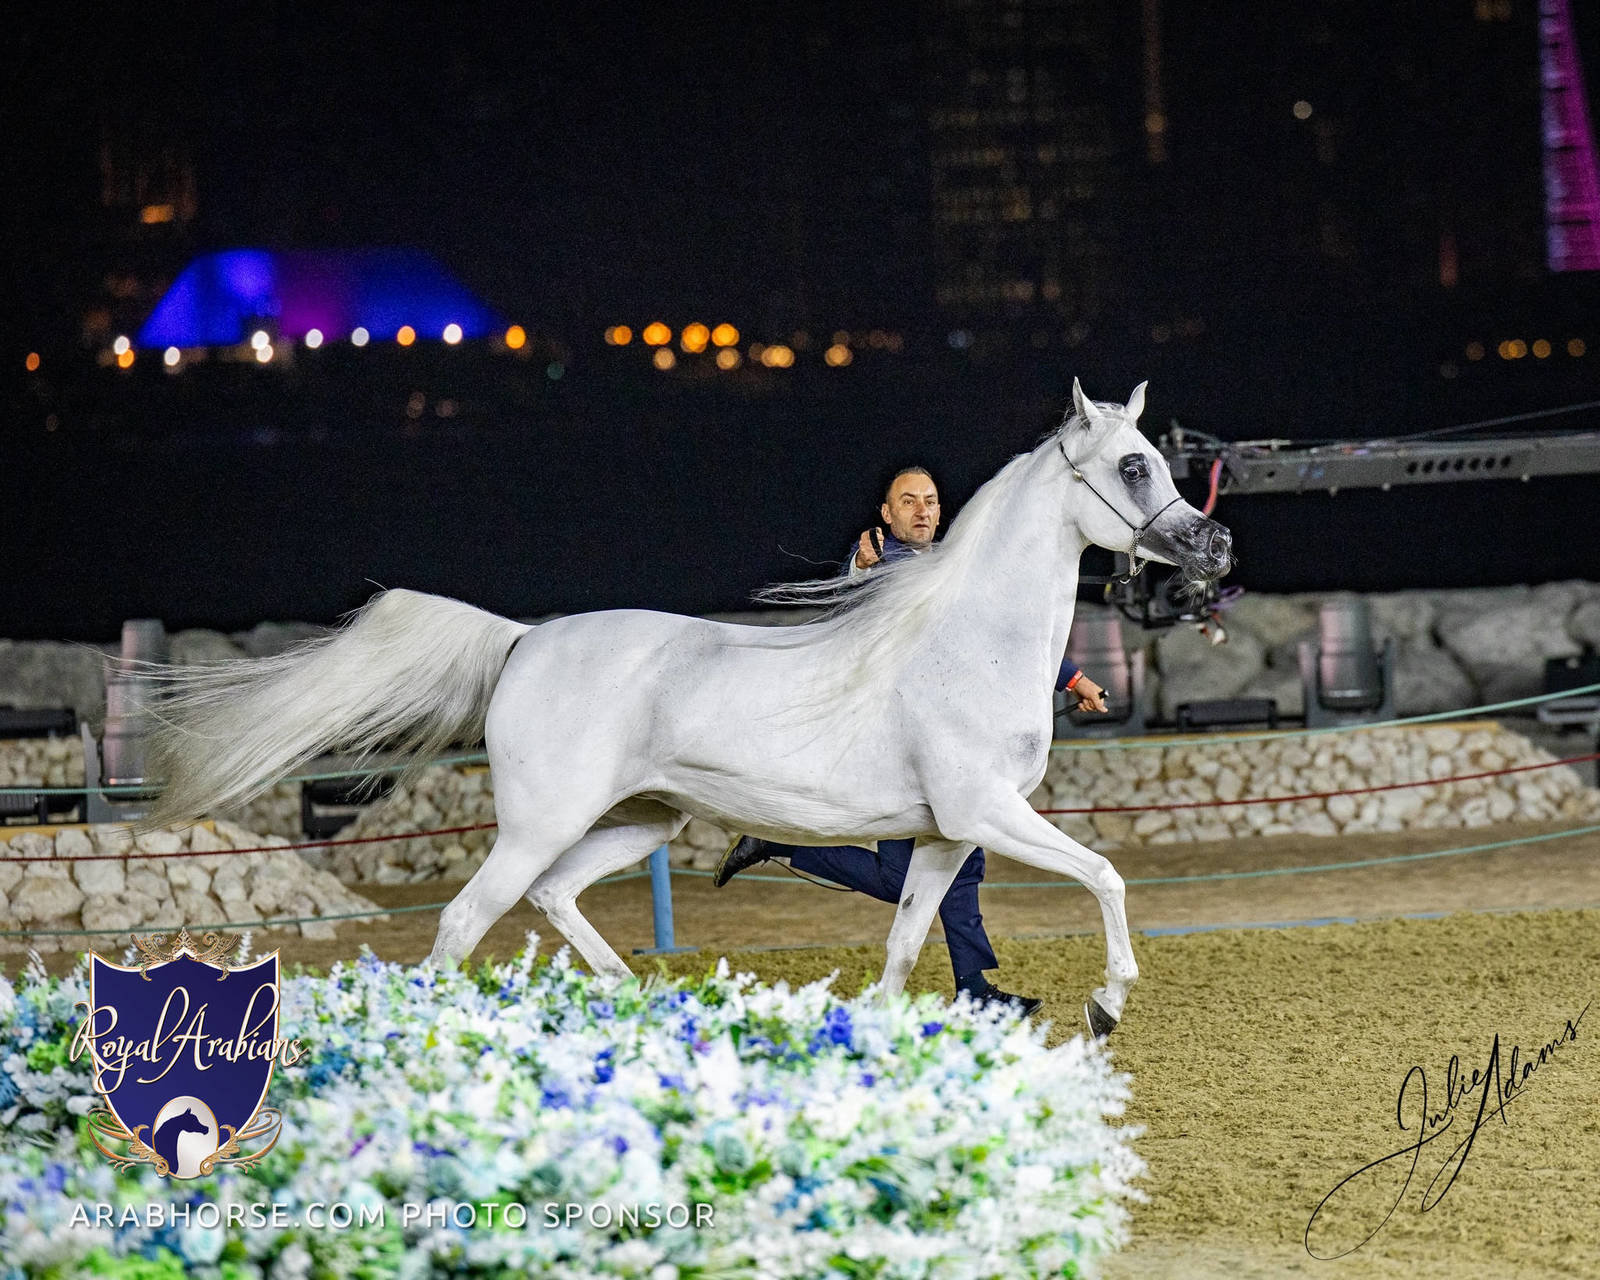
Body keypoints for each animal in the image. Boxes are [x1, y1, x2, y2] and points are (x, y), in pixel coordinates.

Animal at [140, 379, 1231, 1036]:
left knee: (554, 899)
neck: (965, 642)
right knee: (460, 923)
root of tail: (522, 640)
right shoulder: (989, 814)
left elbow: (905, 942)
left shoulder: (942, 835)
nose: (1215, 548)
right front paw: (1106, 1003)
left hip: (639, 821)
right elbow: (1105, 877)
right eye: (1134, 464)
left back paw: (636, 996)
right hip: (539, 823)